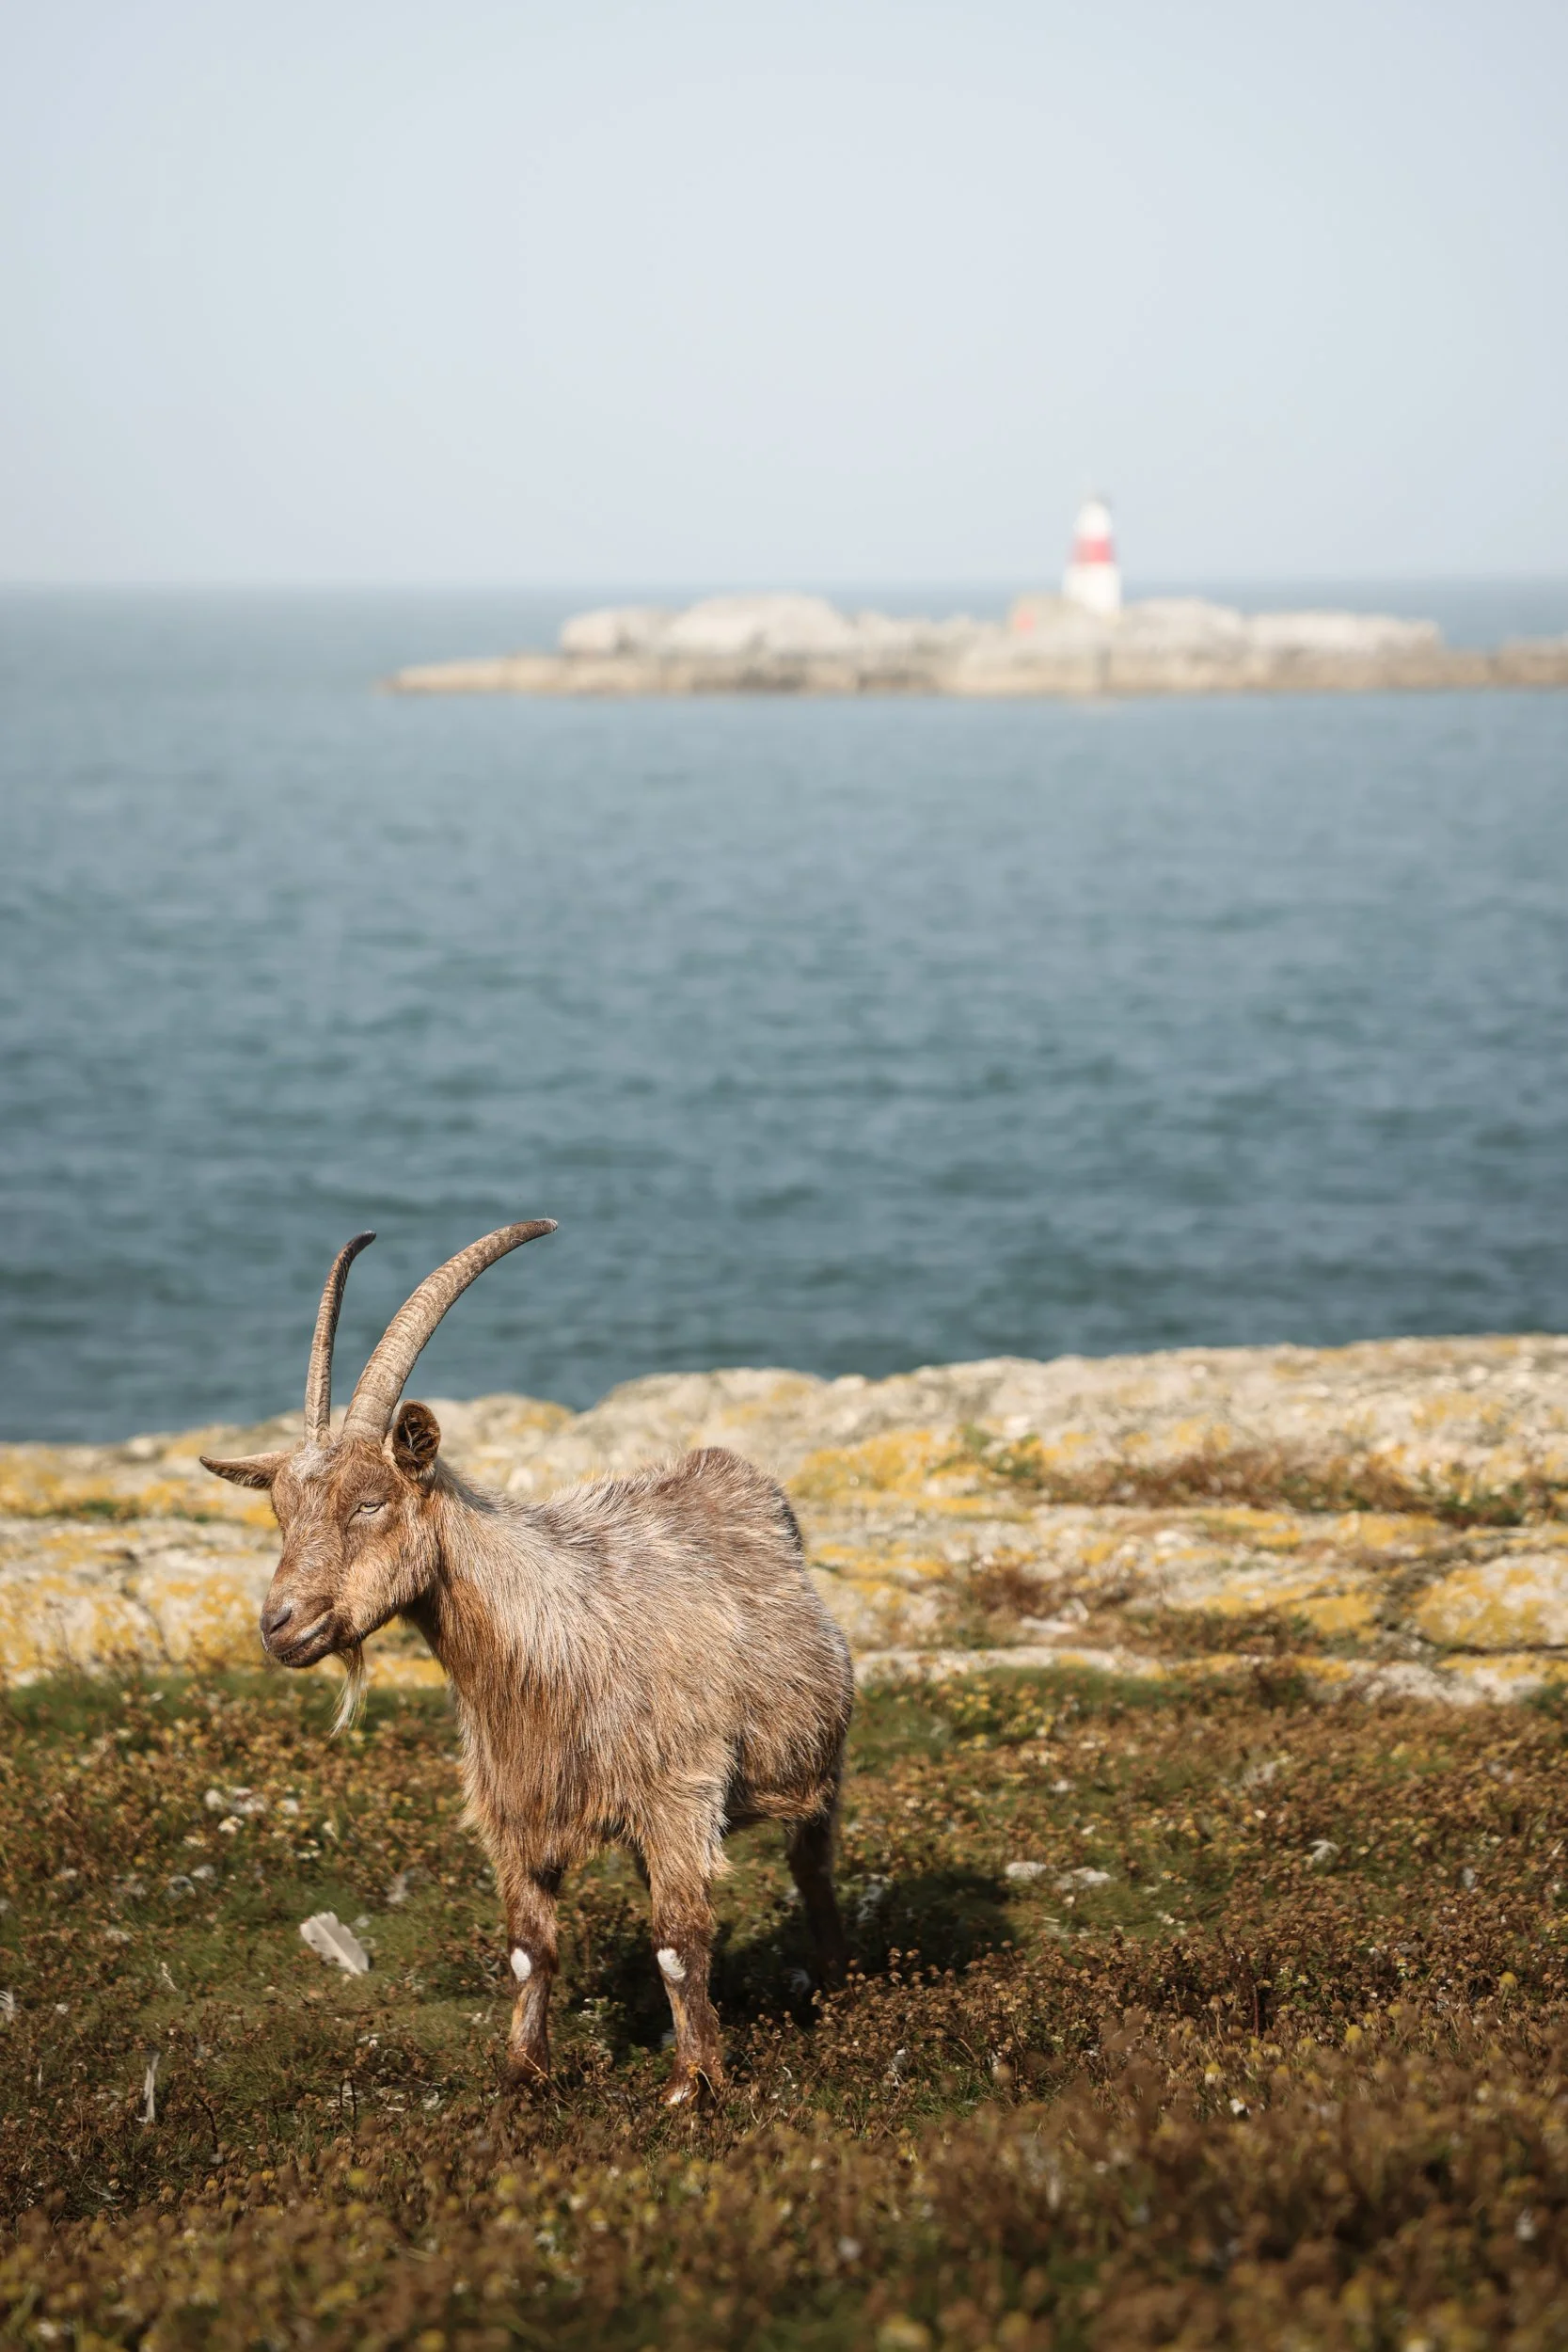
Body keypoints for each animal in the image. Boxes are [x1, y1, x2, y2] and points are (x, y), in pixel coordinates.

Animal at [202, 1223, 853, 2104]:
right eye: (280, 1511)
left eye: (371, 1500)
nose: (281, 1626)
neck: (551, 1638)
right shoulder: (516, 1811)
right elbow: (527, 1946)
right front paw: (523, 2074)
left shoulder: (679, 1795)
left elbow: (679, 1941)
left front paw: (693, 2085)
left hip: (814, 1768)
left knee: (811, 1867)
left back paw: (835, 1985)